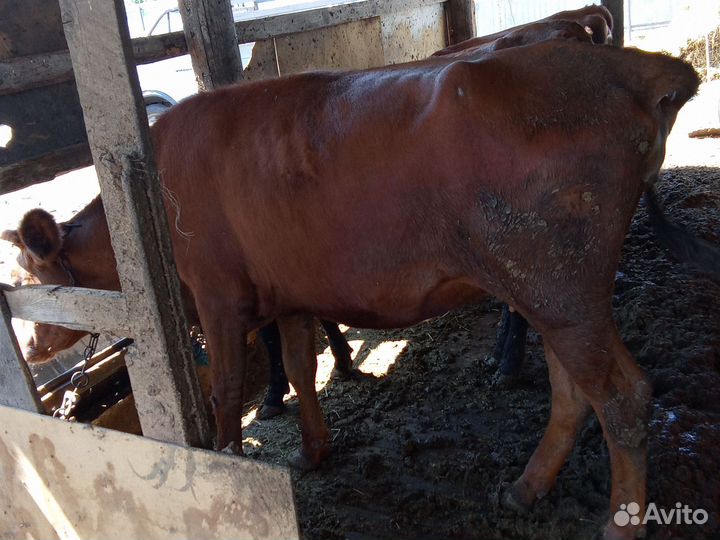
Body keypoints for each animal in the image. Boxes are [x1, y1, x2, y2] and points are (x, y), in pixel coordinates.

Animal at [1, 42, 704, 539]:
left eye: (31, 276)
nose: (29, 347)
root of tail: (635, 68)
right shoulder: (285, 296)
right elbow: (298, 369)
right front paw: (312, 453)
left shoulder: (218, 296)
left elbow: (226, 390)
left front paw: (228, 463)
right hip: (548, 292)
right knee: (574, 394)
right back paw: (524, 490)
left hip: (561, 287)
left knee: (623, 397)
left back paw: (617, 527)